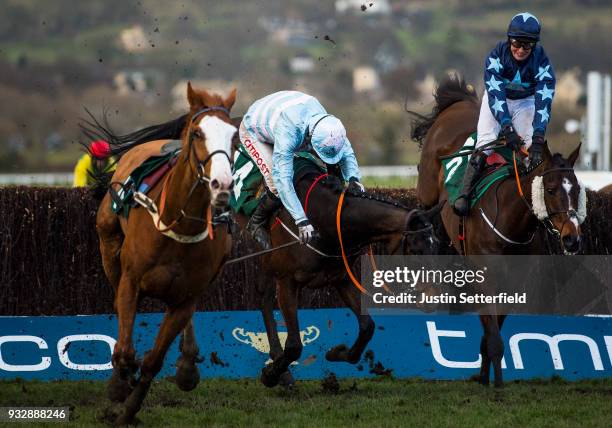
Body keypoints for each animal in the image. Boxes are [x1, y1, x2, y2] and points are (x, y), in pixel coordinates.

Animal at [86, 83, 237, 424]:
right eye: (197, 133)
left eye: (234, 136)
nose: (222, 184)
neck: (177, 223)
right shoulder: (131, 281)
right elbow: (125, 350)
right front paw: (119, 385)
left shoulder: (186, 297)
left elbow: (153, 360)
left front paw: (129, 410)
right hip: (108, 241)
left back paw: (187, 364)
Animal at [408, 74, 584, 388]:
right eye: (551, 189)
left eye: (575, 189)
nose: (572, 239)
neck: (511, 224)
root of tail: (461, 102)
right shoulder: (487, 277)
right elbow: (494, 336)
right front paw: (497, 384)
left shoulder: (512, 281)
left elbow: (493, 328)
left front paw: (483, 374)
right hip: (427, 188)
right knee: (425, 208)